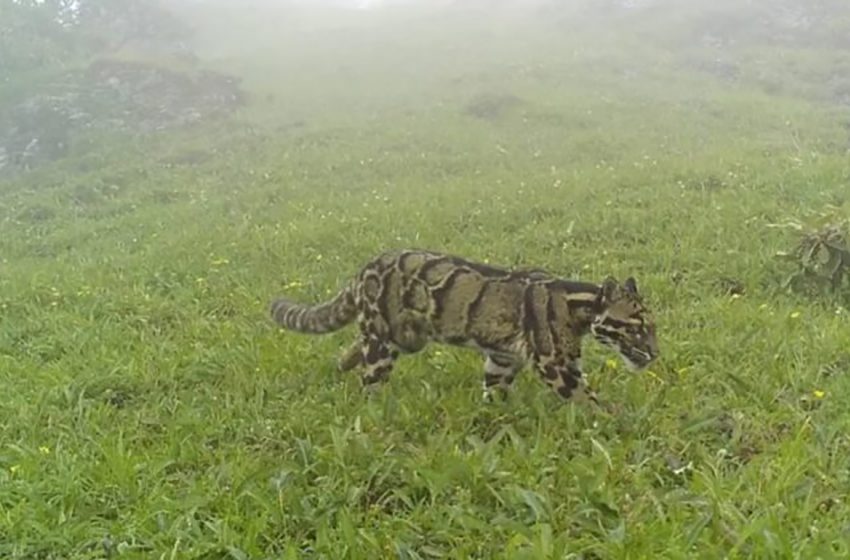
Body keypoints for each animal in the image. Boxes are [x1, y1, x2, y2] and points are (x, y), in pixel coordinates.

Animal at [268, 248, 660, 402]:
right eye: (637, 326)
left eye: (652, 327)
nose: (656, 354)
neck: (578, 305)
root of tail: (366, 266)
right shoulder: (557, 366)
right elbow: (590, 402)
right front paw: (617, 424)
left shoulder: (502, 358)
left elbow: (494, 390)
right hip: (385, 343)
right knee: (370, 379)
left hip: (406, 337)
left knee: (354, 345)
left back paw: (342, 363)